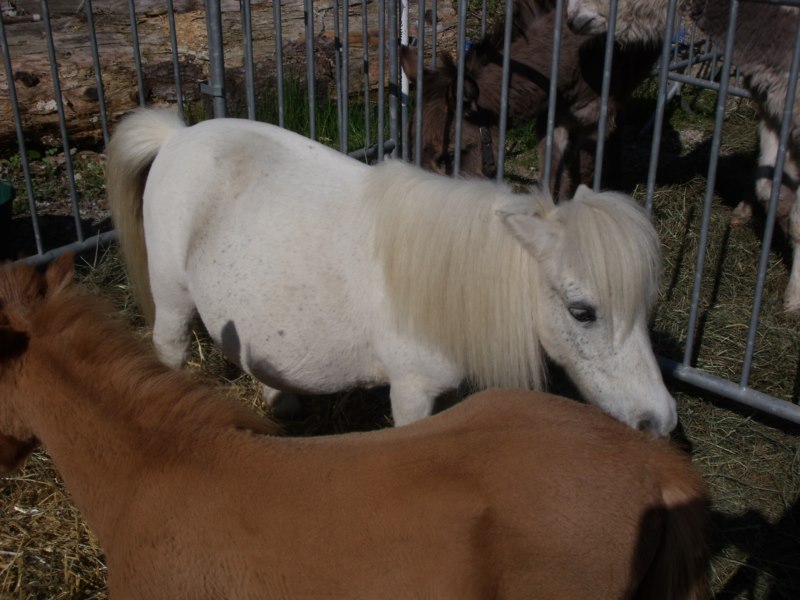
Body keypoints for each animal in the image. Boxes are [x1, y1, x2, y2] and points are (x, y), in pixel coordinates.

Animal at [106, 108, 680, 434]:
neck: (447, 283)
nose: (660, 420)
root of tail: (177, 136)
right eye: (582, 312)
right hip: (172, 296)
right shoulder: (411, 389)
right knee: (169, 347)